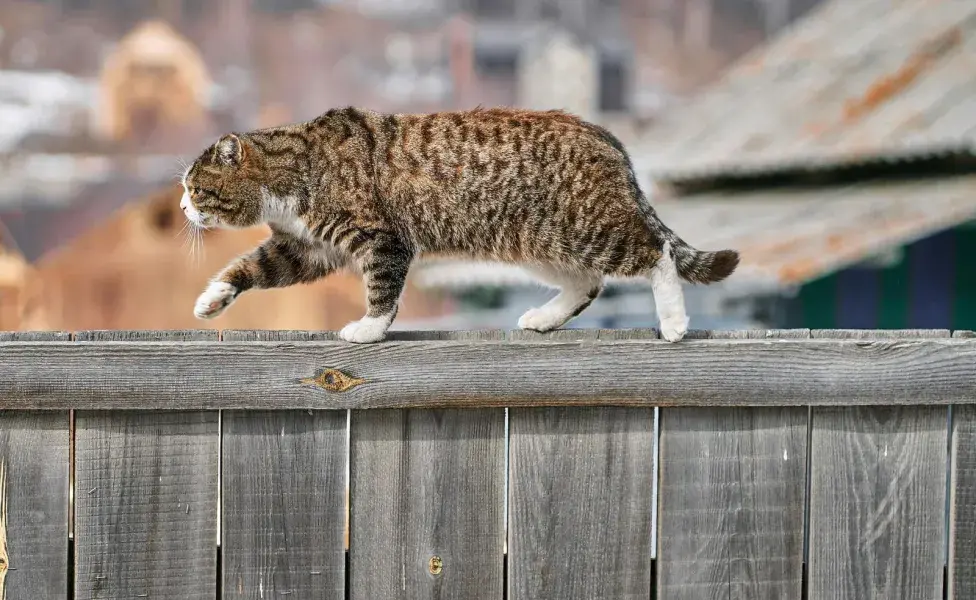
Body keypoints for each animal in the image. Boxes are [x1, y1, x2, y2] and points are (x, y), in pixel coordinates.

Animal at [179, 106, 736, 342]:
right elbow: (250, 268)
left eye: (195, 188)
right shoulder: (307, 248)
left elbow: (383, 292)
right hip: (540, 242)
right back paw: (545, 318)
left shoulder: (381, 239)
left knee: (656, 252)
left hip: (588, 227)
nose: (183, 209)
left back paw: (674, 322)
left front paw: (368, 329)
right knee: (587, 283)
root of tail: (608, 137)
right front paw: (210, 300)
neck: (298, 167)